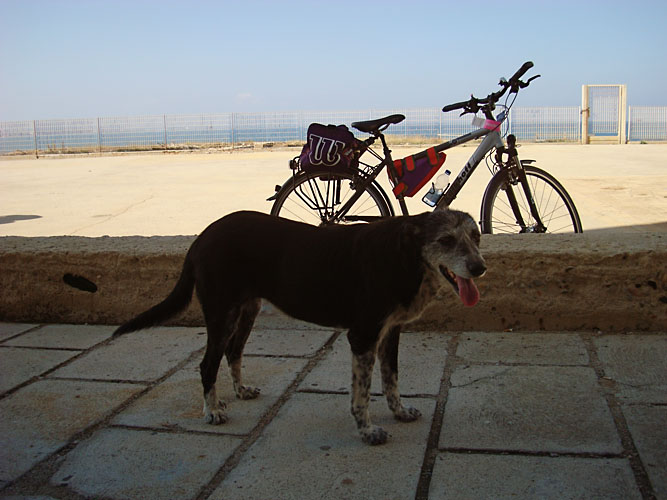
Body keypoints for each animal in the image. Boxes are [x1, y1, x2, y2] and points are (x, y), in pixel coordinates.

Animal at [111, 209, 486, 444]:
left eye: (477, 236)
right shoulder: (362, 336)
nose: (480, 267)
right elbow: (362, 394)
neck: (404, 254)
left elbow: (391, 380)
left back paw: (240, 391)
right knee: (207, 364)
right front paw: (367, 431)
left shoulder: (390, 332)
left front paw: (400, 412)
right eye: (446, 240)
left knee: (233, 352)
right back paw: (212, 411)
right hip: (221, 313)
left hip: (247, 310)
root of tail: (201, 237)